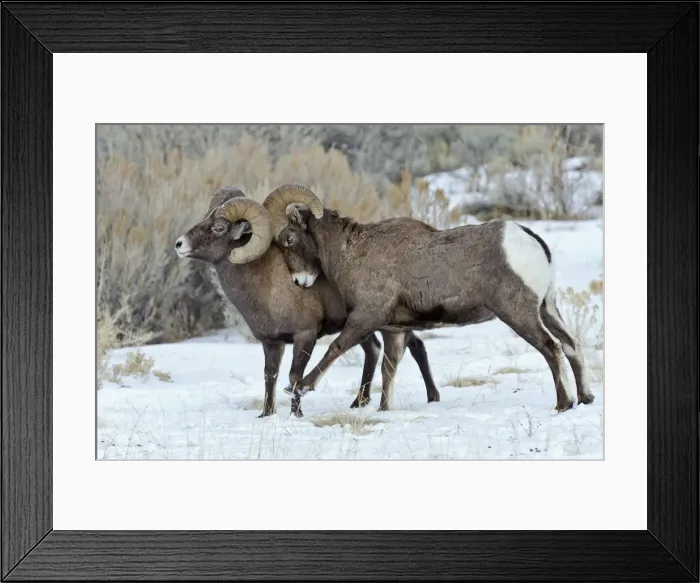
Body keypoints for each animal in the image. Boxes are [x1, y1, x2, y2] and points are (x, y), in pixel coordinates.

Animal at [174, 186, 441, 417]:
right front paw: (266, 415)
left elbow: (294, 377)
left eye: (219, 228)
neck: (265, 283)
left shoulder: (305, 336)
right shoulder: (271, 343)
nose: (179, 244)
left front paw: (297, 415)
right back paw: (360, 403)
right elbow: (270, 377)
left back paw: (431, 397)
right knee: (385, 349)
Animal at [261, 184, 595, 413]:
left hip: (519, 313)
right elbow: (389, 369)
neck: (351, 253)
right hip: (547, 308)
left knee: (551, 348)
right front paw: (384, 410)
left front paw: (300, 388)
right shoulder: (395, 330)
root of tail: (528, 239)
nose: (299, 282)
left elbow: (335, 349)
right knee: (571, 345)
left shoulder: (366, 317)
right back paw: (585, 398)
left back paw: (563, 404)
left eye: (288, 239)